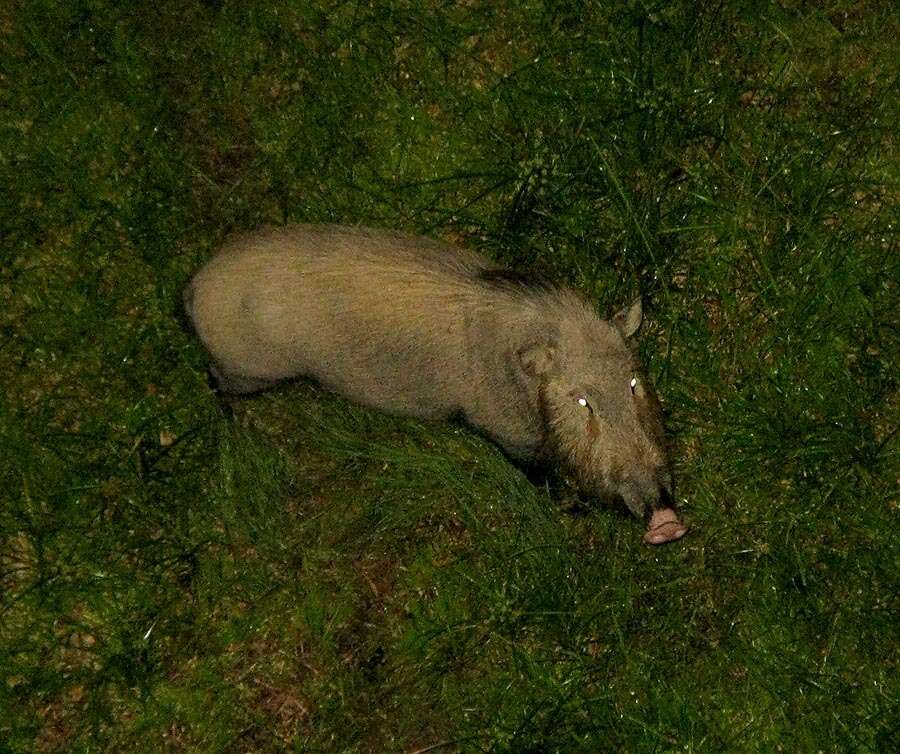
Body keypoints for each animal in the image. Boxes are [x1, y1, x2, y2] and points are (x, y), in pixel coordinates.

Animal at [183, 222, 688, 540]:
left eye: (633, 382)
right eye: (582, 402)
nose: (666, 519)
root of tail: (190, 290)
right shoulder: (502, 429)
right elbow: (535, 471)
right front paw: (571, 509)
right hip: (245, 369)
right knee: (213, 382)